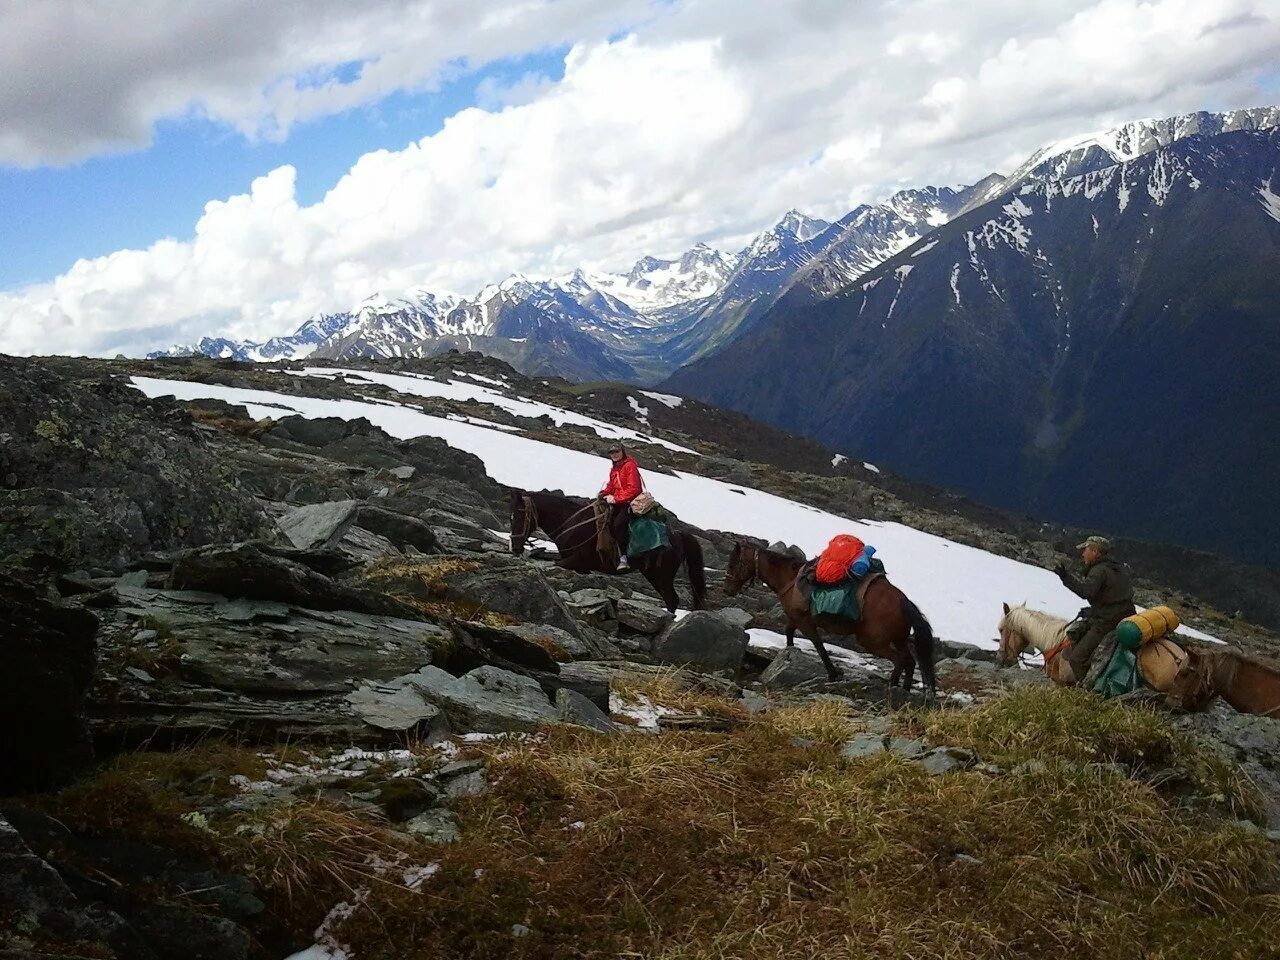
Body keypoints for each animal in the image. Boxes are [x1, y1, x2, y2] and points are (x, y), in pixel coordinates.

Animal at [509, 488, 711, 616]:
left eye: (519, 516)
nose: (515, 548)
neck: (572, 523)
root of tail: (678, 535)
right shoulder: (572, 560)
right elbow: (540, 555)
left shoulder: (576, 560)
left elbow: (553, 564)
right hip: (653, 574)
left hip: (662, 575)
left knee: (672, 600)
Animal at [721, 542, 942, 706]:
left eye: (733, 564)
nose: (727, 590)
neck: (791, 579)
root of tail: (904, 601)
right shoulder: (796, 618)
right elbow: (789, 632)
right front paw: (789, 654)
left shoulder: (805, 622)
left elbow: (818, 645)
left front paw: (832, 673)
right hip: (898, 638)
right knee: (910, 660)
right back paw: (904, 689)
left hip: (873, 641)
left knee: (900, 660)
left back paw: (892, 687)